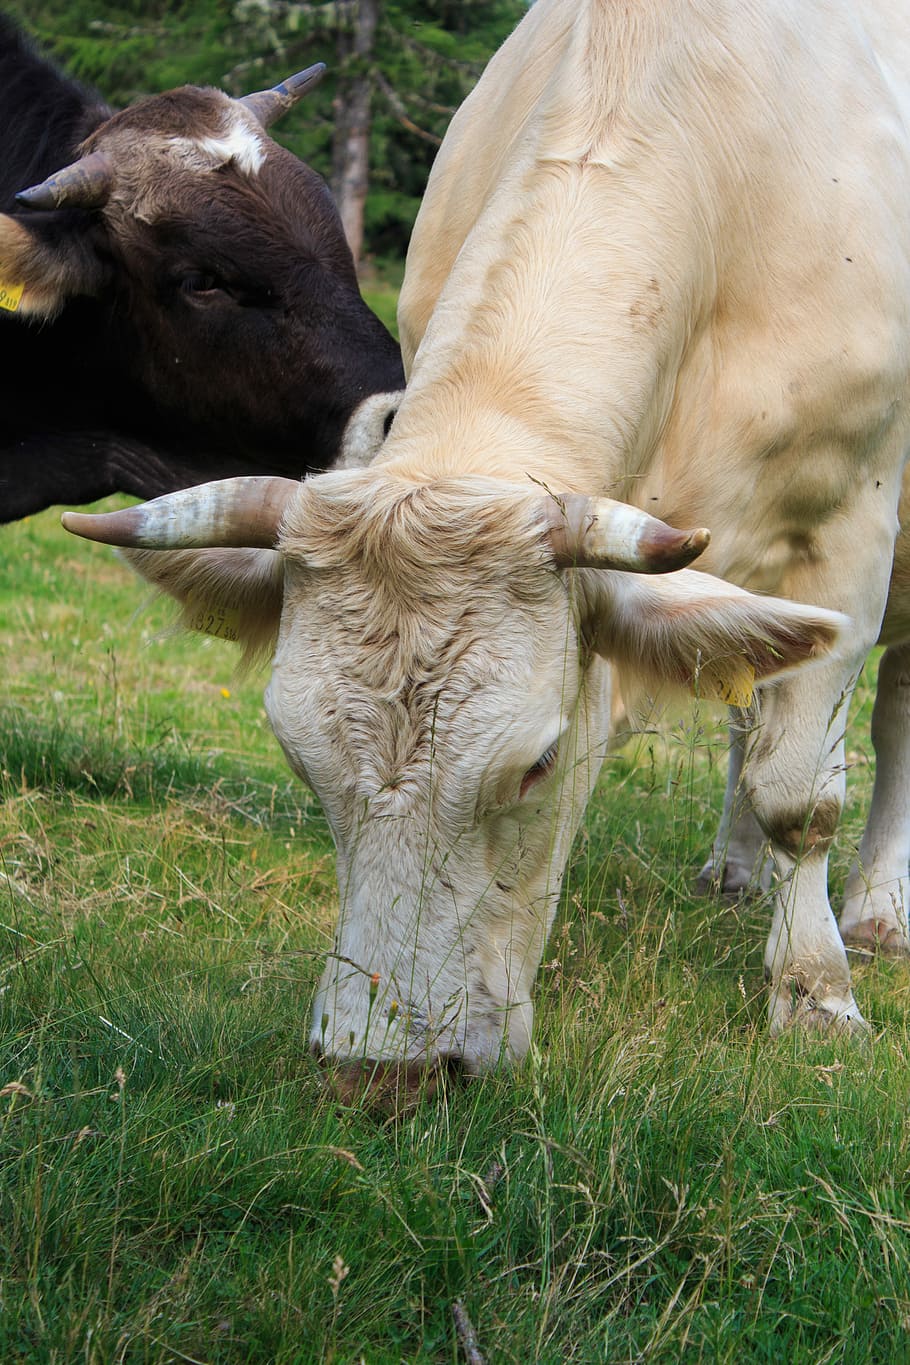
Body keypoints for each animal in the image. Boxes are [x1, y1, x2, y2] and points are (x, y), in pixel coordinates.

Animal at [62, 0, 910, 1103]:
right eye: (297, 754)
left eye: (536, 763)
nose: (378, 1074)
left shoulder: (851, 531)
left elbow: (801, 794)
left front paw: (814, 994)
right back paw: (733, 872)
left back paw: (877, 909)